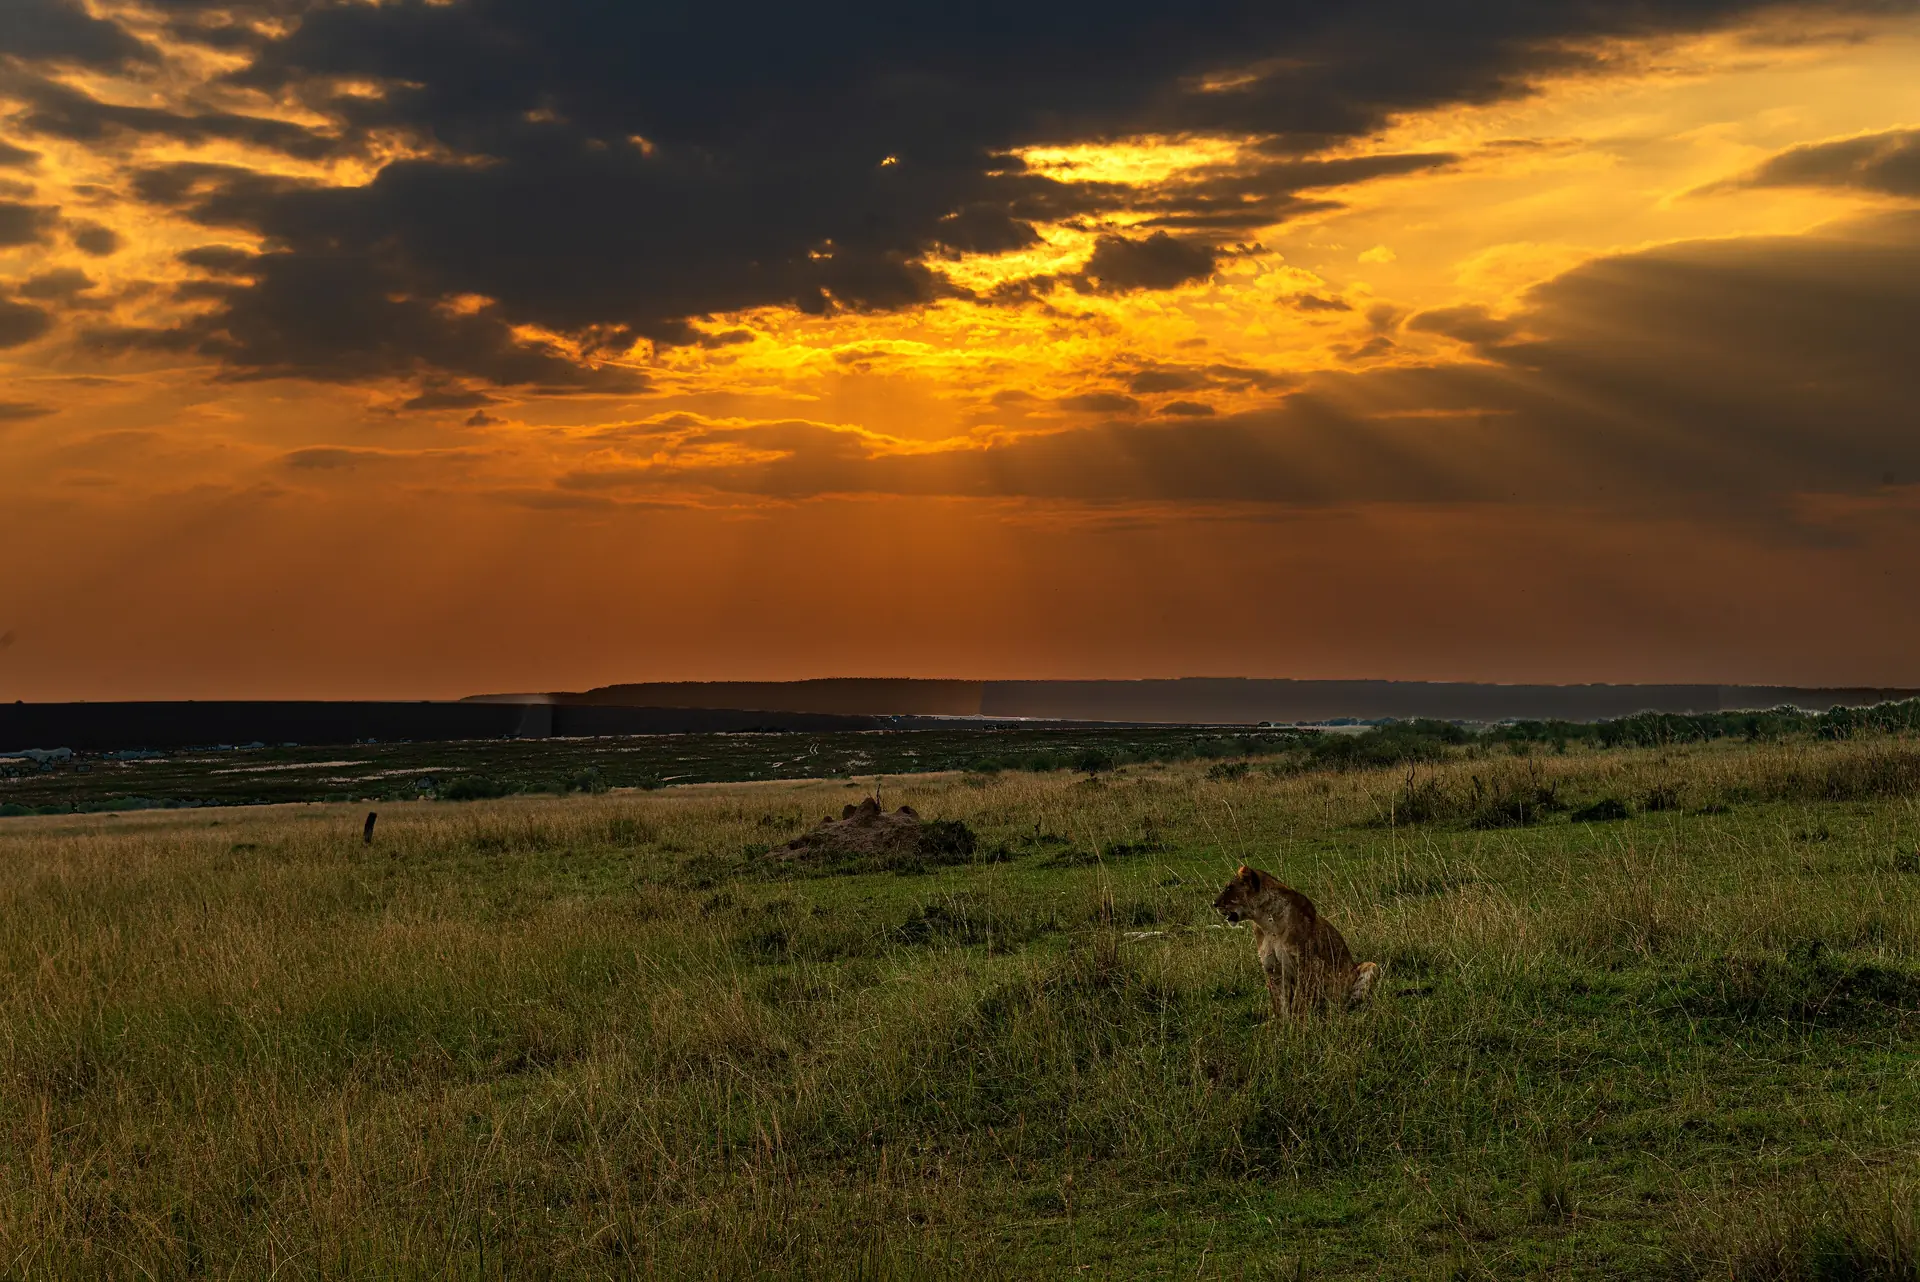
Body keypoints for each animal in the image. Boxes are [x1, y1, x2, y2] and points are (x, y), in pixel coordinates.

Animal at [1213, 865, 1378, 1019]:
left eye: (1229, 888)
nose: (1214, 903)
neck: (1267, 923)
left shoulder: (1309, 963)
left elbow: (1302, 999)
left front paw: (1300, 1023)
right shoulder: (1273, 968)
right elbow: (1280, 1003)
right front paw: (1283, 1026)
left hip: (1371, 966)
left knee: (1348, 1004)